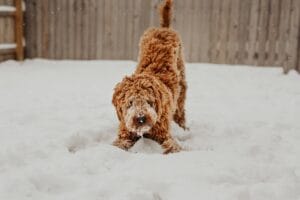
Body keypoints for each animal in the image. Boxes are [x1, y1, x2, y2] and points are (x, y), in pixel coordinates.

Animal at [112, 0, 188, 154]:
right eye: (130, 102)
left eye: (149, 101)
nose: (141, 118)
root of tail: (163, 28)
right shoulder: (125, 131)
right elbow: (119, 143)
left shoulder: (163, 134)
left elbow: (172, 146)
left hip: (182, 82)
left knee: (180, 108)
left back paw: (182, 126)